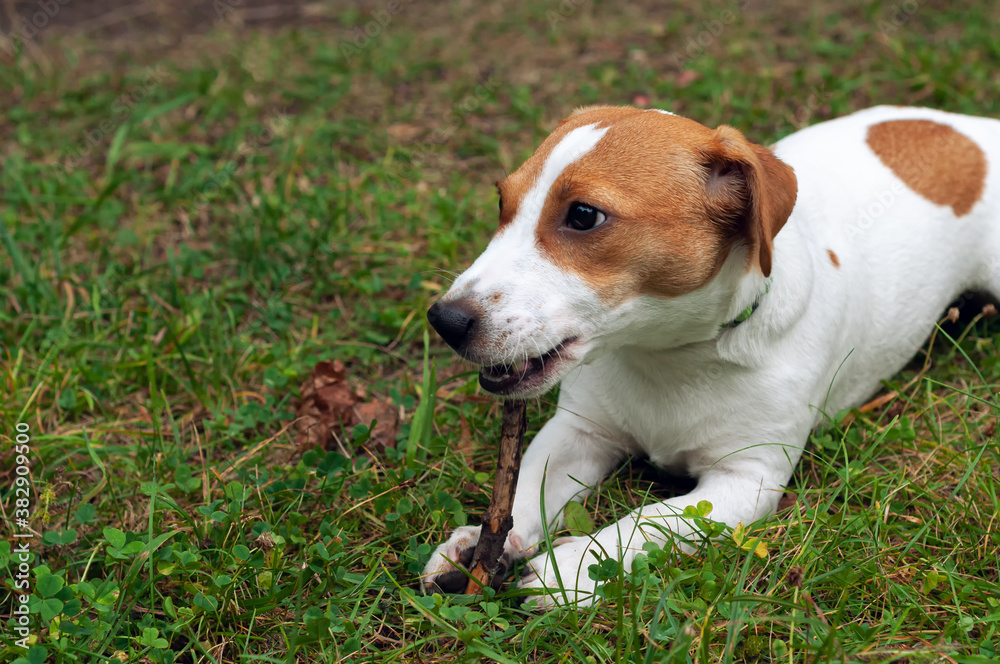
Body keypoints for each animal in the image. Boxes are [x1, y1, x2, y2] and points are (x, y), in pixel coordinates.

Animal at [418, 104, 996, 608]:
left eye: (584, 215)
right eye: (502, 201)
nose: (446, 321)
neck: (669, 357)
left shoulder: (745, 479)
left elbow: (647, 521)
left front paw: (575, 568)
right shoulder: (581, 431)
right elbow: (527, 489)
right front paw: (478, 545)